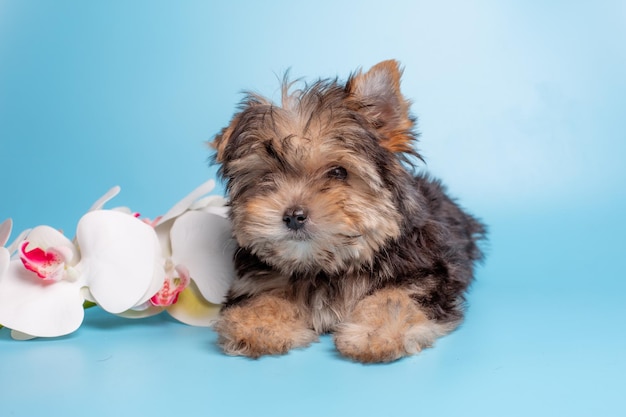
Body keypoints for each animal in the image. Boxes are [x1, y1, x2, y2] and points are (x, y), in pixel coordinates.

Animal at [208, 60, 482, 362]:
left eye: (338, 172)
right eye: (266, 177)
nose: (293, 216)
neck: (327, 268)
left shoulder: (425, 275)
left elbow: (396, 296)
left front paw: (376, 332)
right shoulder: (258, 280)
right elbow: (265, 296)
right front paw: (257, 323)